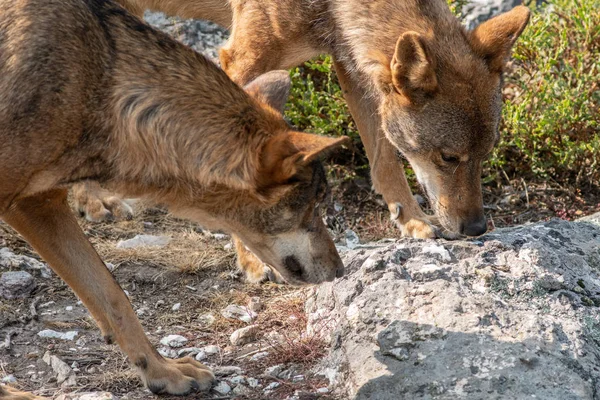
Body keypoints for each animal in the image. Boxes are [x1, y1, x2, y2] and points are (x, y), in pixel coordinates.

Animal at [0, 0, 344, 396]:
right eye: (315, 204)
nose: (340, 270)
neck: (97, 86)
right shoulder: (27, 203)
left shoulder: (41, 202)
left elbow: (113, 295)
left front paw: (162, 371)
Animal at [75, 0, 528, 282]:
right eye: (449, 157)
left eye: (486, 155)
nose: (476, 228)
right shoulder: (241, 62)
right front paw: (251, 261)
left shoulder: (350, 64)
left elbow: (384, 160)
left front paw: (413, 221)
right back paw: (93, 199)